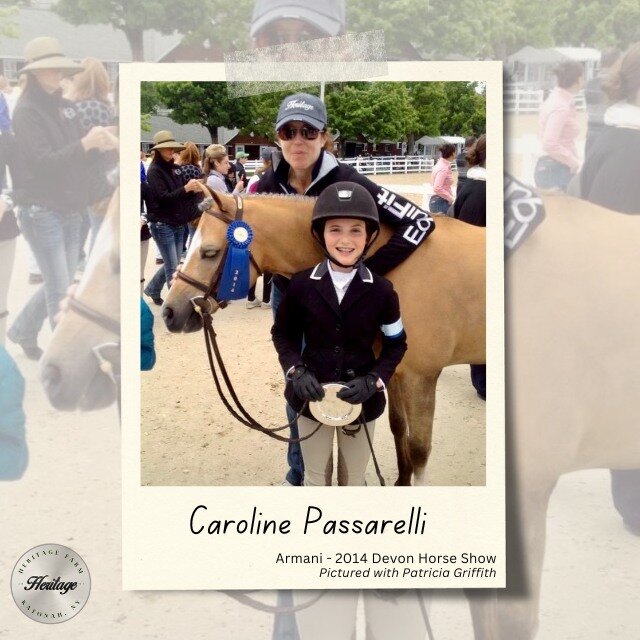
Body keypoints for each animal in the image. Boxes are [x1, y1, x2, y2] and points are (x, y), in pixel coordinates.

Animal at [161, 190, 484, 484]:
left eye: (210, 252)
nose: (169, 312)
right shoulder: (395, 374)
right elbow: (397, 428)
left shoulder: (421, 377)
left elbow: (418, 450)